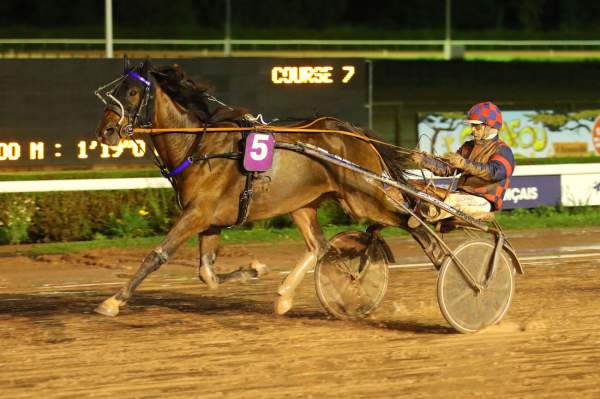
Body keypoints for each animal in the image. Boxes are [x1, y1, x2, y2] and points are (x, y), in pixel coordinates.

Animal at [91, 58, 432, 318]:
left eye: (132, 91)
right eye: (115, 91)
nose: (105, 131)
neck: (197, 147)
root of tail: (354, 133)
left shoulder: (197, 214)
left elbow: (157, 255)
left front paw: (112, 301)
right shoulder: (210, 221)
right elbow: (207, 274)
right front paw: (256, 270)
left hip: (365, 197)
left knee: (413, 222)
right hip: (303, 204)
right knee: (320, 247)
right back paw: (284, 297)